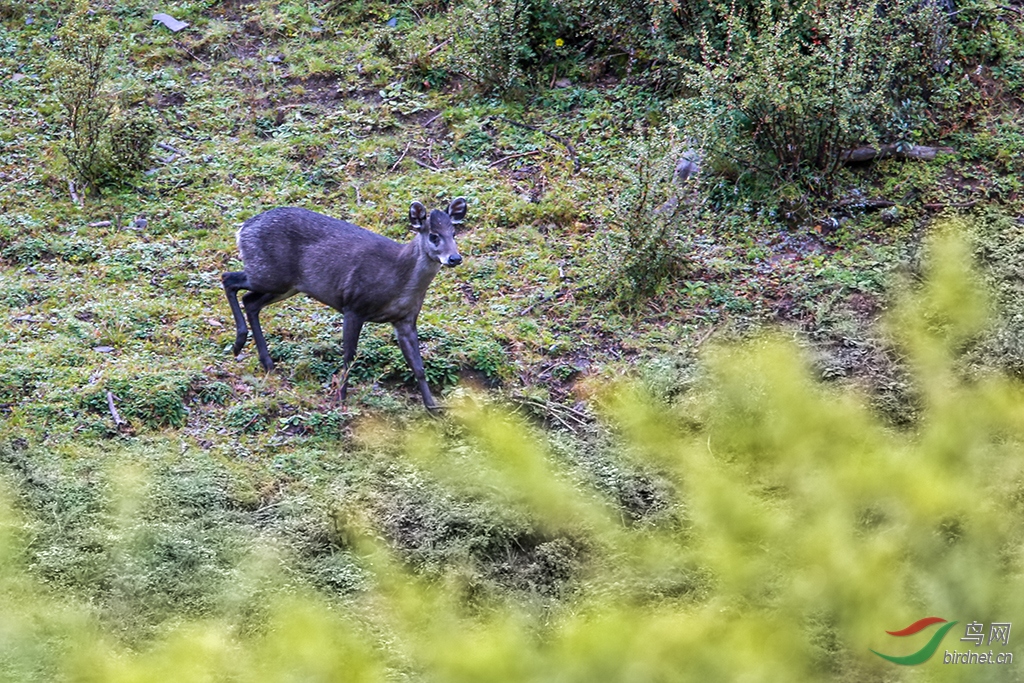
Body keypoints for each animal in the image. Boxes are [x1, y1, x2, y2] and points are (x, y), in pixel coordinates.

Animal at [224, 197, 468, 411]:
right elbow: (349, 357)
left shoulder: (405, 319)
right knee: (229, 279)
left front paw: (433, 407)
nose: (455, 258)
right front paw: (340, 398)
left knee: (250, 301)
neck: (398, 278)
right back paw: (238, 343)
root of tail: (242, 229)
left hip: (285, 285)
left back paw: (266, 362)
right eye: (434, 236)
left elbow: (418, 366)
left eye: (454, 233)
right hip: (269, 275)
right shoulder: (353, 306)